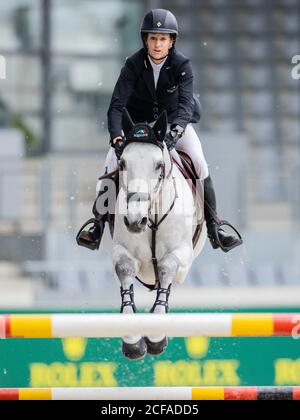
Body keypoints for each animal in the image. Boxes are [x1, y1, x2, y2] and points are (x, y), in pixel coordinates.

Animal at [109, 110, 206, 360]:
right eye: (122, 163)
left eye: (159, 165)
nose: (135, 221)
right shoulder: (121, 250)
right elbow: (125, 269)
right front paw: (133, 340)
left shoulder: (183, 253)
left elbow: (166, 267)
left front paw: (155, 335)